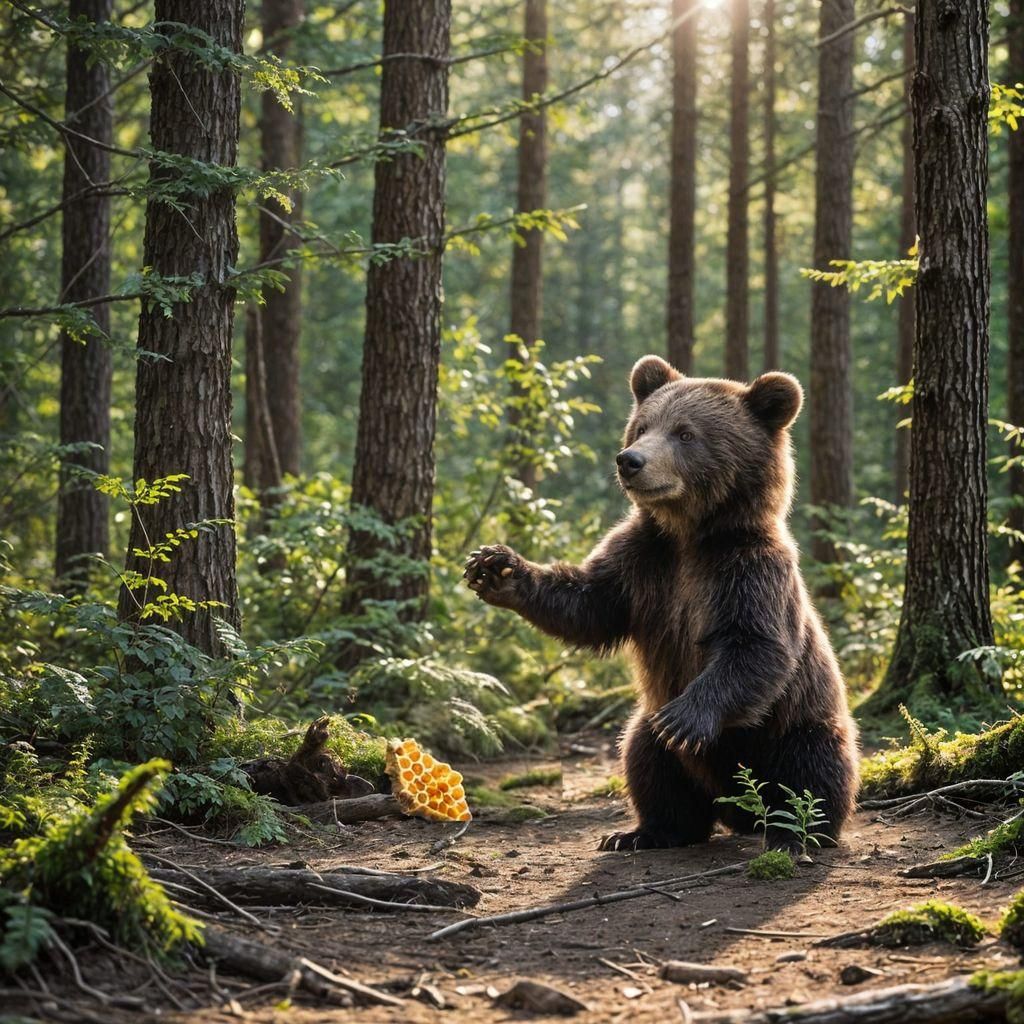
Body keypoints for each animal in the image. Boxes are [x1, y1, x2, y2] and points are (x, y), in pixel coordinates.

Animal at [463, 354, 859, 852]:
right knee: (648, 760)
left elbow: (756, 646)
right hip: (651, 725)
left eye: (685, 433)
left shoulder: (749, 571)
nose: (630, 461)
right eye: (642, 427)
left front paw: (685, 718)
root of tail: (738, 810)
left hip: (793, 724)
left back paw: (797, 833)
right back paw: (643, 832)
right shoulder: (642, 563)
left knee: (809, 770)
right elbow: (589, 605)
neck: (688, 534)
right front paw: (497, 567)